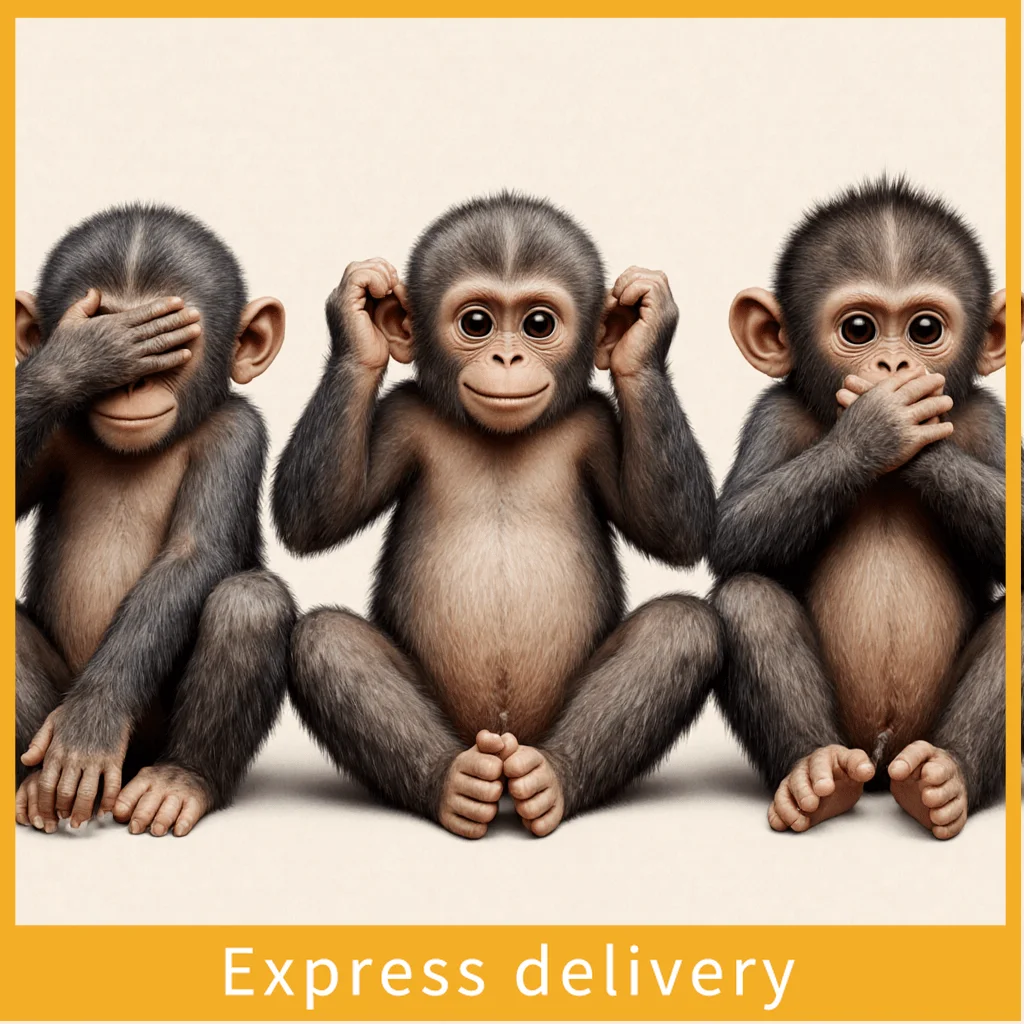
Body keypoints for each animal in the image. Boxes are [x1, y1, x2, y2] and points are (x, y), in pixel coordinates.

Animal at [15, 203, 296, 838]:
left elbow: (194, 554)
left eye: (173, 345)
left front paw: (93, 718)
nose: (132, 381)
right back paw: (29, 790)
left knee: (250, 603)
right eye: (100, 320)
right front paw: (80, 357)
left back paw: (178, 780)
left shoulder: (236, 434)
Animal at [272, 192, 722, 839]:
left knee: (681, 627)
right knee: (326, 641)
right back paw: (454, 783)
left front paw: (646, 324)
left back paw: (550, 778)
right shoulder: (404, 415)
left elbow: (673, 528)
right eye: (477, 323)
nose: (506, 356)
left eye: (538, 324)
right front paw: (358, 315)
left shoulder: (593, 423)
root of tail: (506, 741)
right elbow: (317, 514)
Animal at [711, 175, 1013, 840]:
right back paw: (815, 775)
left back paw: (942, 780)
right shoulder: (774, 414)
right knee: (747, 594)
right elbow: (731, 530)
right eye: (858, 329)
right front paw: (878, 429)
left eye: (924, 329)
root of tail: (880, 759)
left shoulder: (990, 419)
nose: (894, 365)